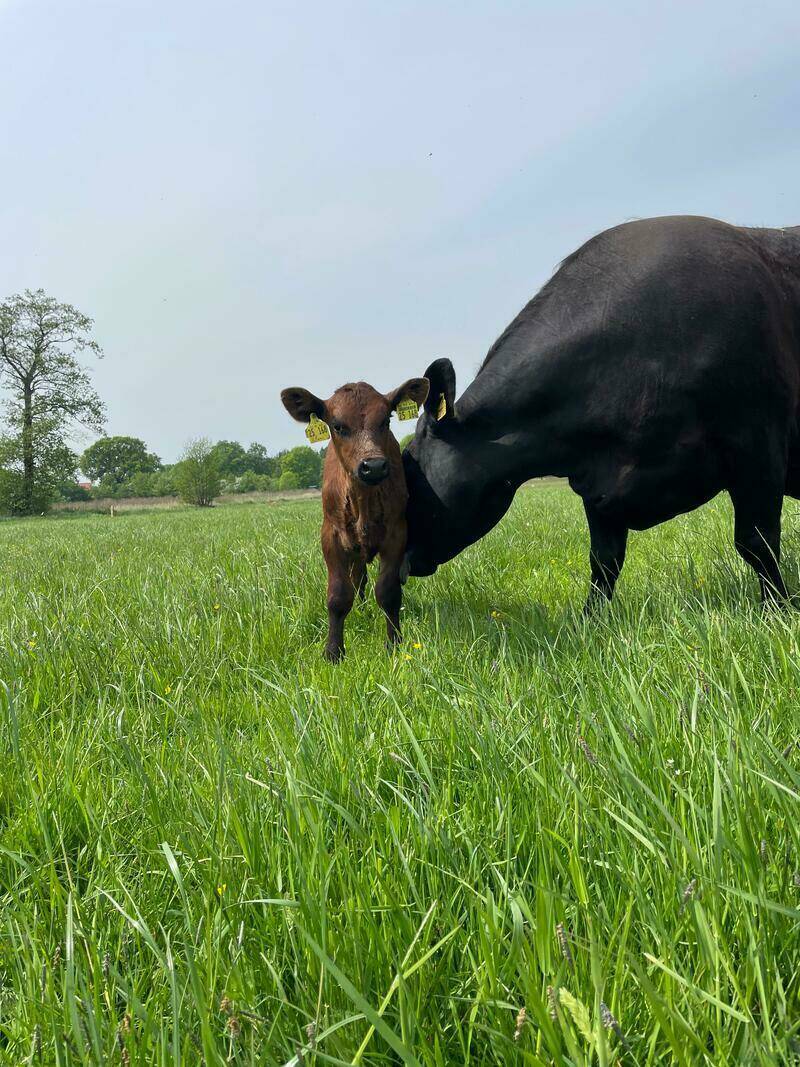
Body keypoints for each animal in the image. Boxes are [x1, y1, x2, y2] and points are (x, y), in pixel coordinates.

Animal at [282, 377, 429, 660]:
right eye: (337, 425)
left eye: (386, 421)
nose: (374, 466)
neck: (363, 502)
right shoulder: (331, 536)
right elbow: (338, 596)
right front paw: (333, 651)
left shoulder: (397, 533)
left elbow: (388, 592)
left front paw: (394, 644)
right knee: (357, 578)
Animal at [402, 215, 800, 609]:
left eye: (409, 464)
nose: (399, 558)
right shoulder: (596, 480)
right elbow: (604, 559)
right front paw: (590, 618)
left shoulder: (757, 446)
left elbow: (757, 543)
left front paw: (776, 609)